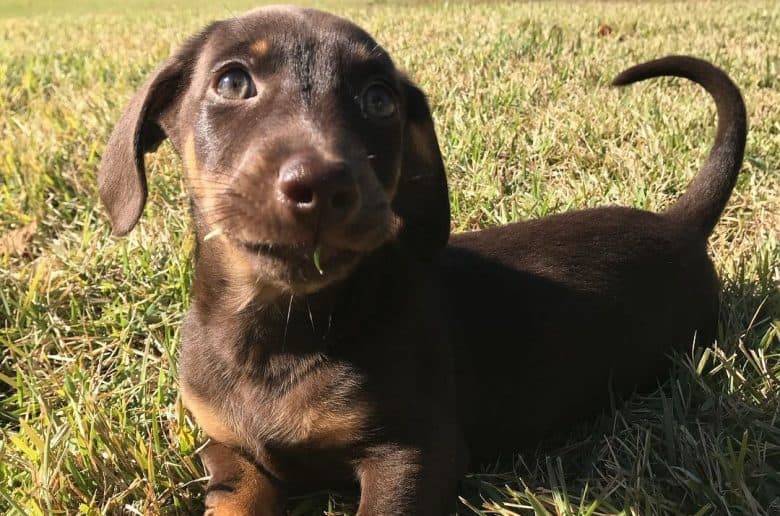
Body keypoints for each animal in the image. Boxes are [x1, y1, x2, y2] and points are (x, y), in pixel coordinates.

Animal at [97, 5, 748, 516]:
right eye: (232, 82)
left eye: (379, 100)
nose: (325, 185)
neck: (280, 332)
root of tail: (678, 225)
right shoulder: (227, 449)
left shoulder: (415, 451)